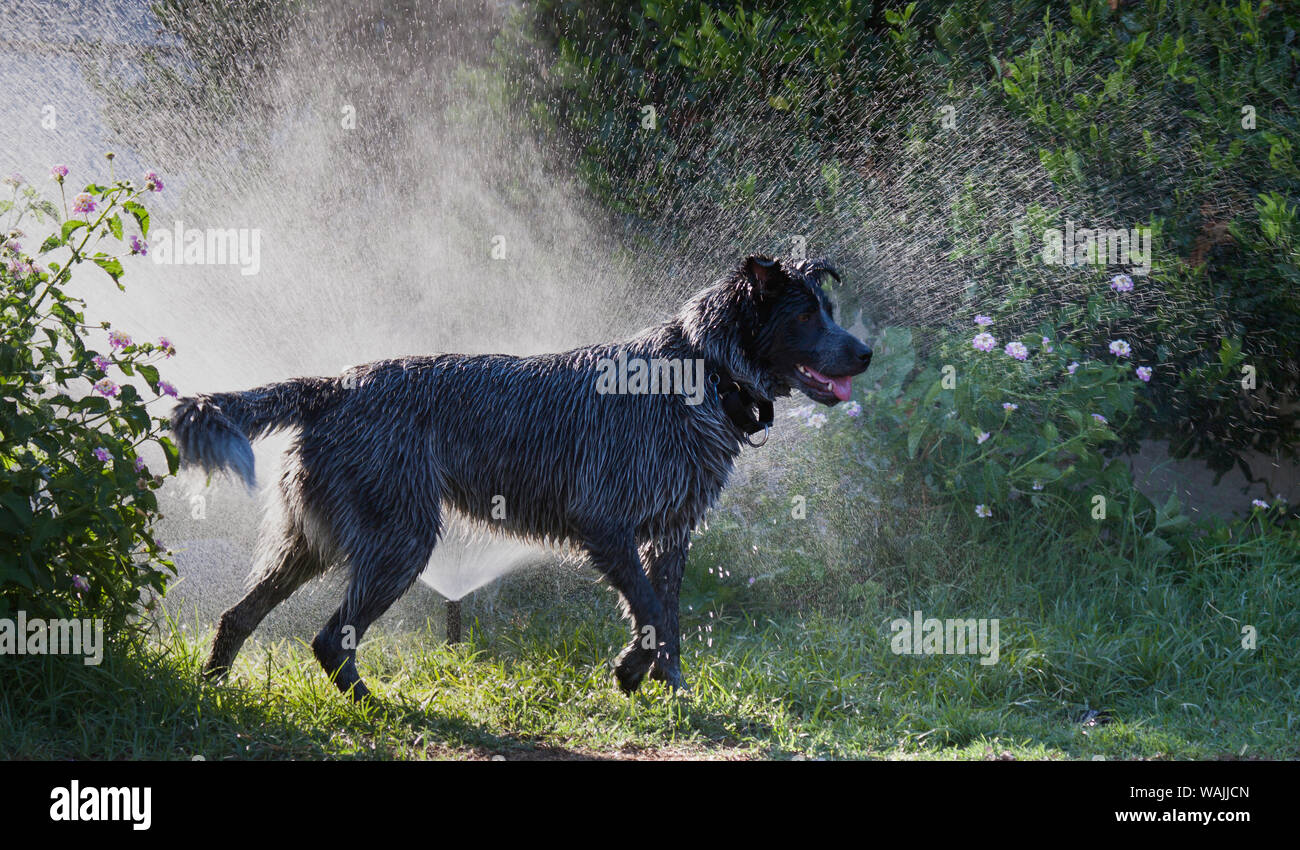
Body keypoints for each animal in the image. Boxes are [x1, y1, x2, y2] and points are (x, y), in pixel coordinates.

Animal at [167, 256, 868, 701]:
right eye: (805, 317)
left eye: (829, 309)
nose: (864, 353)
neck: (697, 370)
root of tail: (335, 384)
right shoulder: (605, 525)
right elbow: (651, 613)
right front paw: (640, 677)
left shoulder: (668, 536)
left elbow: (664, 616)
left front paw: (660, 686)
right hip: (400, 543)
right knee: (327, 641)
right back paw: (375, 705)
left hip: (310, 541)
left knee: (237, 617)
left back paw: (214, 689)